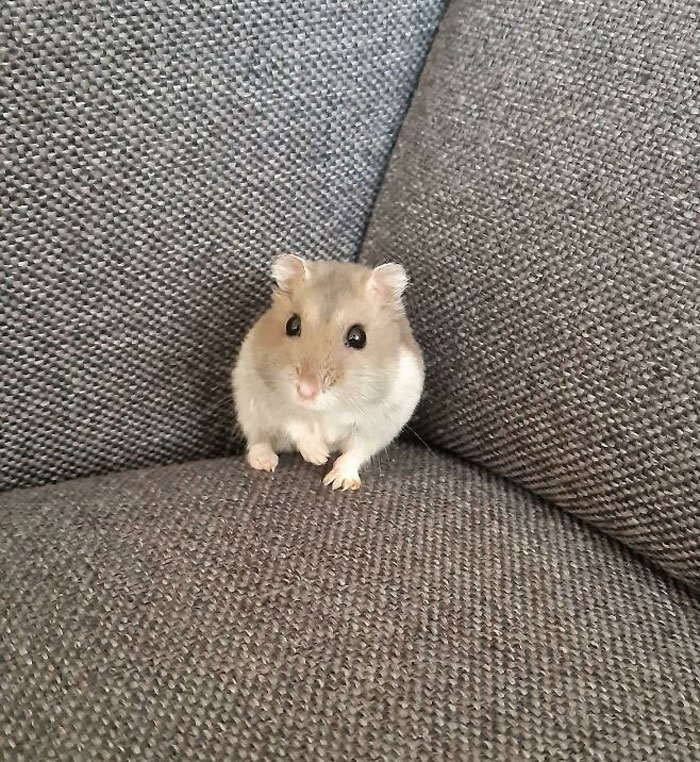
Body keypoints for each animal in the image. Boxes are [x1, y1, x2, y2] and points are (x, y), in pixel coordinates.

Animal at [232, 255, 424, 490]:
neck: (325, 410)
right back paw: (266, 463)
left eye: (358, 337)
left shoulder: (380, 423)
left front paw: (338, 482)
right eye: (292, 325)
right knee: (258, 440)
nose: (306, 391)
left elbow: (356, 452)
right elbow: (296, 424)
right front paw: (319, 456)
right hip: (248, 407)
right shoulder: (273, 399)